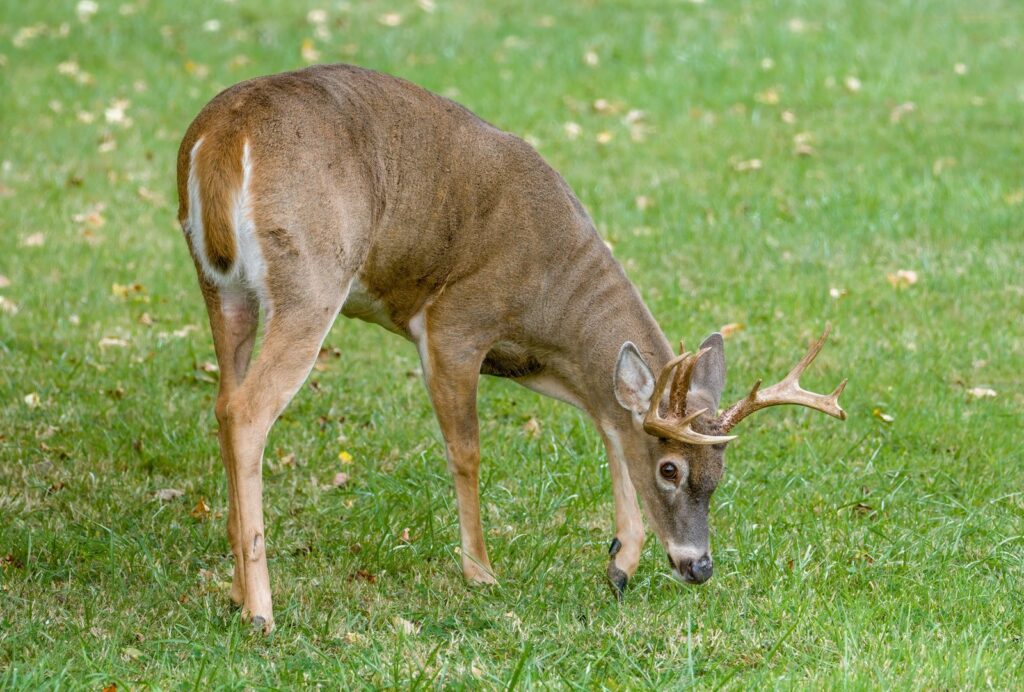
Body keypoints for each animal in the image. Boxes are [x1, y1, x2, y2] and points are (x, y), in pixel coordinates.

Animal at [176, 64, 847, 633]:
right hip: (312, 277)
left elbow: (610, 418)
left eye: (719, 474)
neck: (550, 292)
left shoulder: (537, 362)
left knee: (223, 402)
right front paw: (481, 571)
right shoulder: (454, 324)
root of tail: (222, 134)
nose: (699, 567)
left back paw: (235, 589)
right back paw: (261, 610)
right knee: (249, 410)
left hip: (221, 287)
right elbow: (468, 452)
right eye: (671, 469)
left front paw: (619, 563)